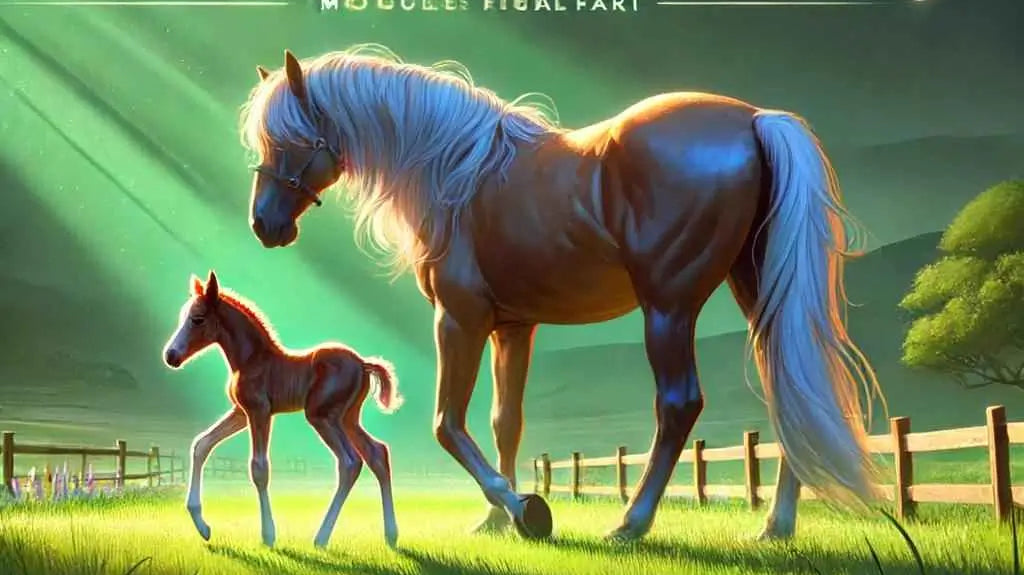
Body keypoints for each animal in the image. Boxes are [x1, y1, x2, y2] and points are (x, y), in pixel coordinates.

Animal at [161, 270, 402, 548]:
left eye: (197, 319)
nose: (171, 356)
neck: (251, 360)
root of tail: (363, 364)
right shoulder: (241, 413)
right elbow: (202, 444)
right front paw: (202, 526)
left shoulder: (260, 412)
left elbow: (259, 468)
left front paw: (268, 536)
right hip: (348, 418)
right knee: (377, 453)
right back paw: (391, 536)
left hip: (323, 416)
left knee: (350, 462)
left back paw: (321, 538)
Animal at [239, 46, 884, 543]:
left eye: (292, 140)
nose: (264, 225)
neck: (458, 174)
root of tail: (754, 118)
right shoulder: (512, 327)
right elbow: (505, 421)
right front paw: (496, 519)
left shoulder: (458, 320)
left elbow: (448, 424)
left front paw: (523, 508)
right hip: (754, 289)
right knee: (787, 385)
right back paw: (775, 526)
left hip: (668, 309)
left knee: (679, 405)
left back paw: (632, 523)